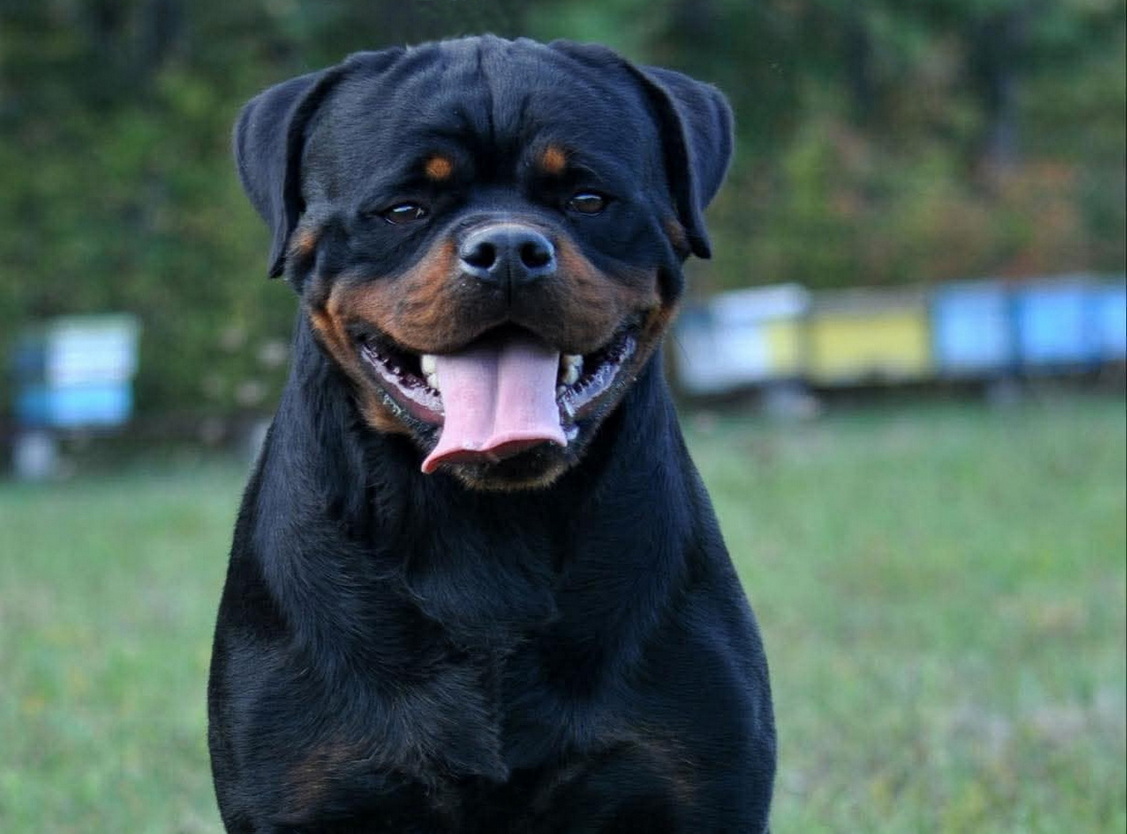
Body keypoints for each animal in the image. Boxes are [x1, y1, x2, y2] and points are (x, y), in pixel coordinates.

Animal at [209, 35, 775, 829]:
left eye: (587, 199)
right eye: (403, 208)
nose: (508, 248)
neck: (484, 529)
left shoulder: (701, 785)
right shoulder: (298, 791)